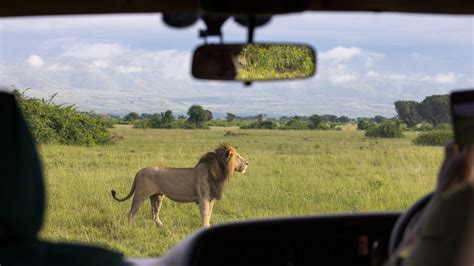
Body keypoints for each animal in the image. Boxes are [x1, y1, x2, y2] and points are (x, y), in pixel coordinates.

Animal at [110, 142, 248, 228]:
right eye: (238, 156)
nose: (247, 163)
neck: (219, 170)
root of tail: (140, 171)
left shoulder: (211, 198)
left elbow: (209, 214)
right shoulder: (203, 198)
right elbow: (204, 214)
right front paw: (204, 227)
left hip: (157, 196)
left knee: (154, 214)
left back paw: (162, 226)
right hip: (140, 195)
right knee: (131, 213)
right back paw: (131, 227)